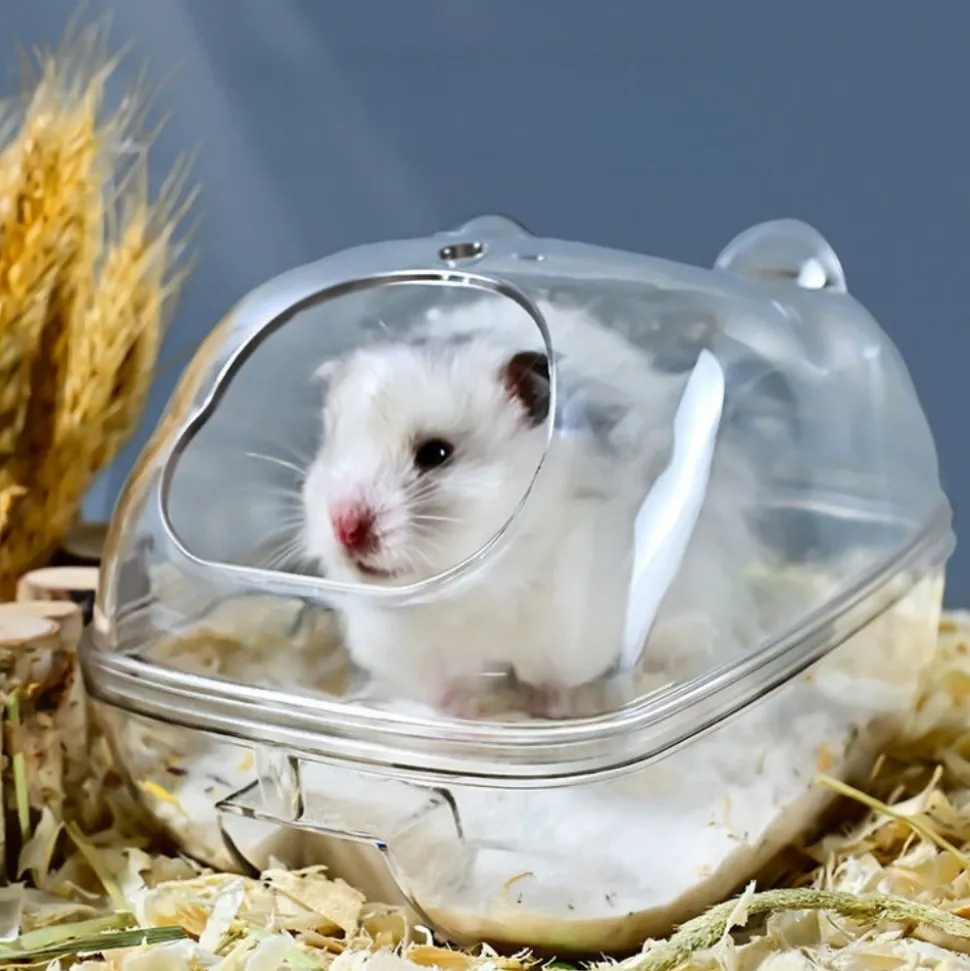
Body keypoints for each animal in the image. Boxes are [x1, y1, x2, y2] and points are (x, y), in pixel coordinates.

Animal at [300, 296, 769, 718]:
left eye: (436, 453)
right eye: (332, 447)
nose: (345, 528)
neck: (473, 587)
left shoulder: (571, 629)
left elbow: (553, 681)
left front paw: (551, 713)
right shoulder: (414, 653)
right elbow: (446, 693)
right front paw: (463, 724)